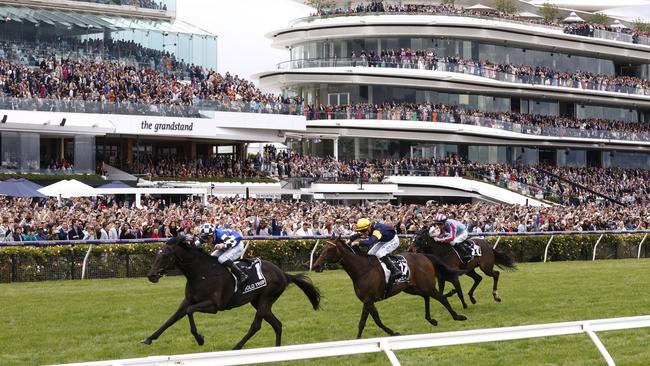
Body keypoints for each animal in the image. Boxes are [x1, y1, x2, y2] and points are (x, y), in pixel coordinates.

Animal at [144, 236, 322, 350]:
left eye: (165, 255)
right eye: (157, 254)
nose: (151, 276)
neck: (202, 273)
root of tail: (283, 274)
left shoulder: (213, 306)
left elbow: (189, 312)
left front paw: (200, 339)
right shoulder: (188, 300)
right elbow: (171, 319)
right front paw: (149, 338)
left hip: (266, 298)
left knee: (256, 326)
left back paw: (236, 346)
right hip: (258, 301)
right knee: (277, 324)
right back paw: (276, 350)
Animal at [312, 237, 464, 338]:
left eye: (330, 249)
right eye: (323, 247)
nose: (315, 266)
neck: (362, 270)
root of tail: (424, 256)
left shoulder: (368, 299)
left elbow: (365, 321)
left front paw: (359, 339)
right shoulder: (368, 301)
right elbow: (374, 320)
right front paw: (391, 333)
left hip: (426, 285)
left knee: (441, 298)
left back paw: (458, 316)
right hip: (412, 288)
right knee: (426, 296)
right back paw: (431, 319)